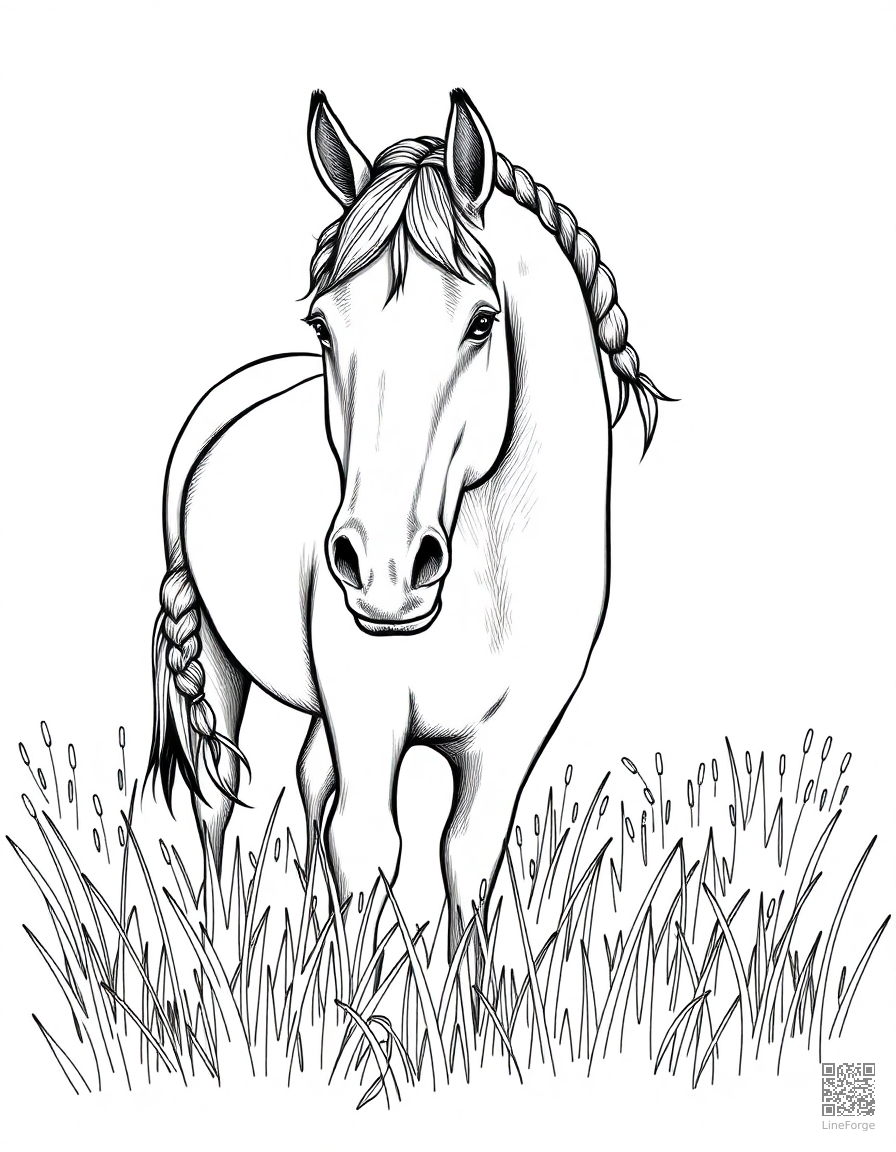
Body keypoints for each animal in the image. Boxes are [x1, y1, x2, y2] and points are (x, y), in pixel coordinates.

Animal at [148, 90, 671, 955]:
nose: (386, 572)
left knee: (308, 778)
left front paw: (463, 994)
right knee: (218, 797)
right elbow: (366, 847)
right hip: (218, 655)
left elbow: (467, 859)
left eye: (483, 322)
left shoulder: (510, 738)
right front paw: (353, 988)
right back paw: (217, 939)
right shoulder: (367, 709)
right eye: (323, 327)